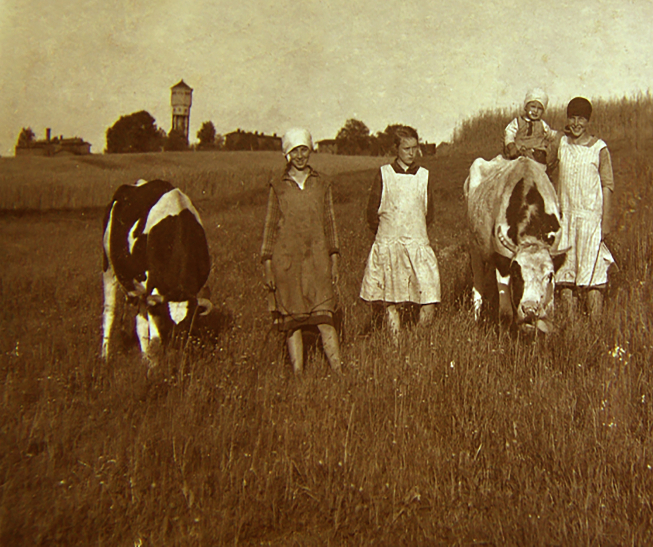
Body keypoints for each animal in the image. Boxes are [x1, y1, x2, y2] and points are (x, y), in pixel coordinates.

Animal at [101, 180, 211, 364]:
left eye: (187, 323)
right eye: (167, 320)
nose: (176, 355)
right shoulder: (153, 291)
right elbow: (155, 338)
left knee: (140, 322)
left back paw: (145, 357)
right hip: (108, 269)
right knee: (109, 311)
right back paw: (104, 355)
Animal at [464, 155, 564, 334]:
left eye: (549, 276)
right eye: (516, 274)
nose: (530, 310)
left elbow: (549, 308)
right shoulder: (503, 264)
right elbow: (505, 312)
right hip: (474, 248)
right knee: (478, 287)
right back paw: (475, 318)